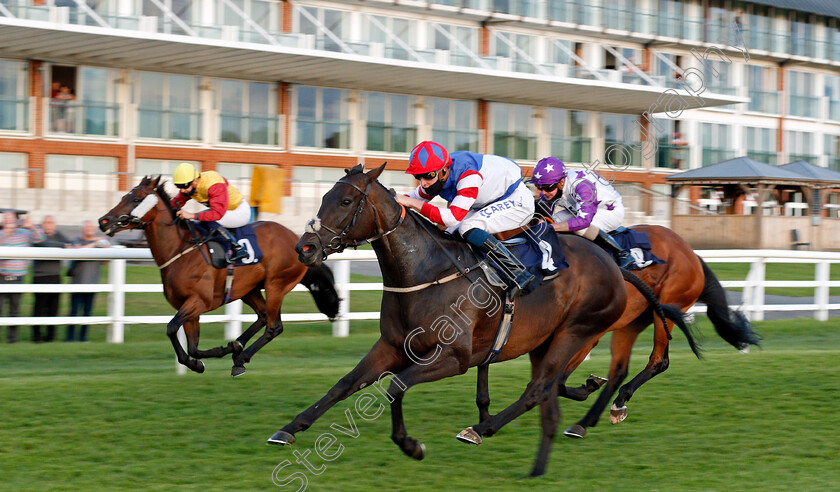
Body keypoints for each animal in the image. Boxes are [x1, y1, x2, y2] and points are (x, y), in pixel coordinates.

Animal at [96, 177, 338, 376]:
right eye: (123, 196)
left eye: (136, 198)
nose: (104, 221)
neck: (180, 250)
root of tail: (300, 242)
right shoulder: (189, 308)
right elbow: (192, 347)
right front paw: (202, 360)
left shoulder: (198, 301)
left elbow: (171, 328)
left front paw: (208, 357)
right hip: (248, 289)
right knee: (262, 317)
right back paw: (237, 348)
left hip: (276, 284)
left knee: (274, 326)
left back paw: (241, 358)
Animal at [262, 164, 684, 476]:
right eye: (324, 197)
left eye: (347, 200)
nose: (304, 248)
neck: (423, 272)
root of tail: (614, 266)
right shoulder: (392, 346)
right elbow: (345, 384)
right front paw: (288, 429)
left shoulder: (454, 358)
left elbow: (396, 386)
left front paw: (411, 445)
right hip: (546, 341)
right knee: (548, 394)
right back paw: (542, 456)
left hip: (575, 332)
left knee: (539, 389)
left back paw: (481, 429)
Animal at [476, 224, 764, 438]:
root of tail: (691, 253)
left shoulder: (583, 336)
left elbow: (554, 382)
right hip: (632, 322)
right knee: (619, 369)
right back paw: (590, 418)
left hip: (668, 306)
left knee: (658, 361)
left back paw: (614, 404)